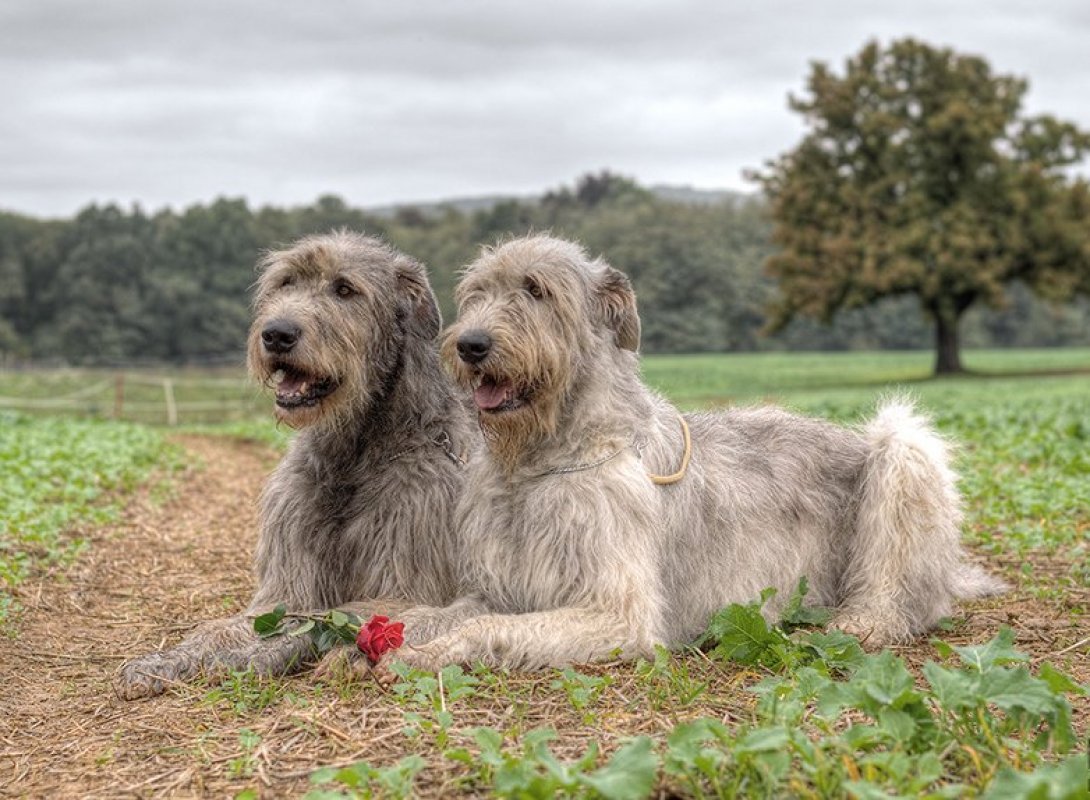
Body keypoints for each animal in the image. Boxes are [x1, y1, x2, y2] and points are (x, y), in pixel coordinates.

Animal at [114, 228, 473, 697]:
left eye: (345, 289)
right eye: (285, 283)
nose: (277, 333)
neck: (354, 454)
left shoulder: (405, 580)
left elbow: (318, 620)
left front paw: (257, 655)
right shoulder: (288, 572)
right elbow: (236, 623)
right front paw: (166, 659)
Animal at [383, 235, 1002, 675]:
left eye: (536, 290)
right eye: (476, 293)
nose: (470, 344)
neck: (541, 460)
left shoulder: (617, 615)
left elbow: (488, 627)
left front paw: (430, 651)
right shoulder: (502, 585)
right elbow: (446, 612)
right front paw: (393, 633)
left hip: (903, 449)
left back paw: (860, 622)